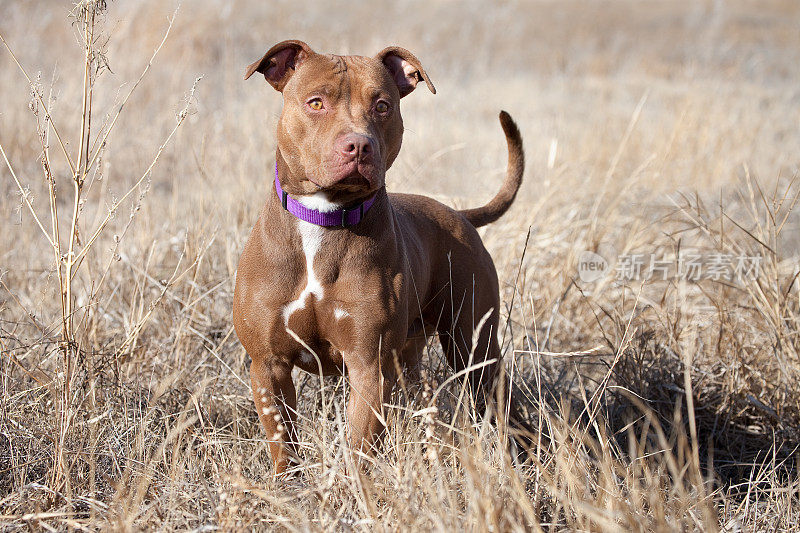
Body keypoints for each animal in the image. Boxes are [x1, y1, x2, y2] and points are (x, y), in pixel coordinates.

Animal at [233, 41, 524, 474]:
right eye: (316, 102)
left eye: (383, 106)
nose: (358, 144)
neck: (324, 216)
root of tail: (458, 215)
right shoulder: (268, 365)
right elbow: (283, 443)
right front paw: (285, 485)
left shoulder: (368, 366)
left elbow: (358, 448)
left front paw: (352, 489)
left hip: (474, 349)